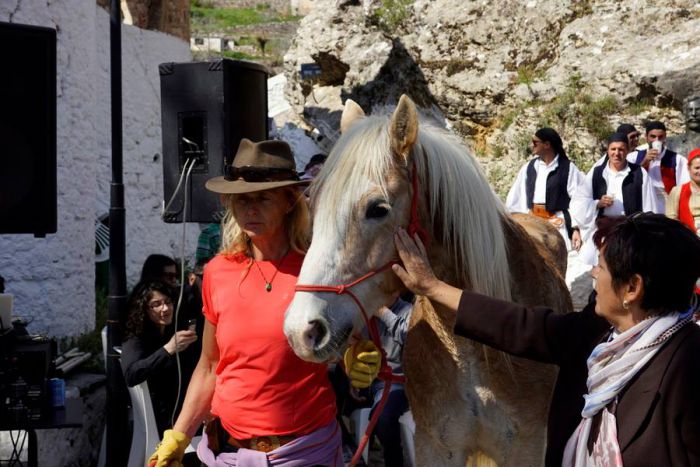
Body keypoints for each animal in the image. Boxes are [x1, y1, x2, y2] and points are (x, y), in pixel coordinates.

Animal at [282, 96, 572, 467]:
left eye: (377, 209)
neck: (473, 351)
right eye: (313, 204)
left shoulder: (527, 447)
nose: (301, 330)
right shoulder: (435, 445)